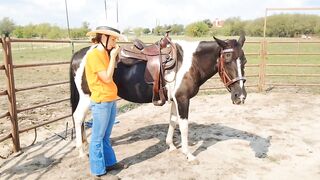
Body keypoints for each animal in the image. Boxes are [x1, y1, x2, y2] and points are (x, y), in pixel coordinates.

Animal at [70, 35, 248, 162]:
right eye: (227, 59)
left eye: (244, 61)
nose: (240, 96)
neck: (187, 63)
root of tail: (79, 55)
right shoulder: (183, 99)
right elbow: (184, 126)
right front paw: (188, 154)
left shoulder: (176, 99)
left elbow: (173, 121)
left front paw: (171, 145)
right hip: (86, 97)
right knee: (78, 117)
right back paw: (81, 152)